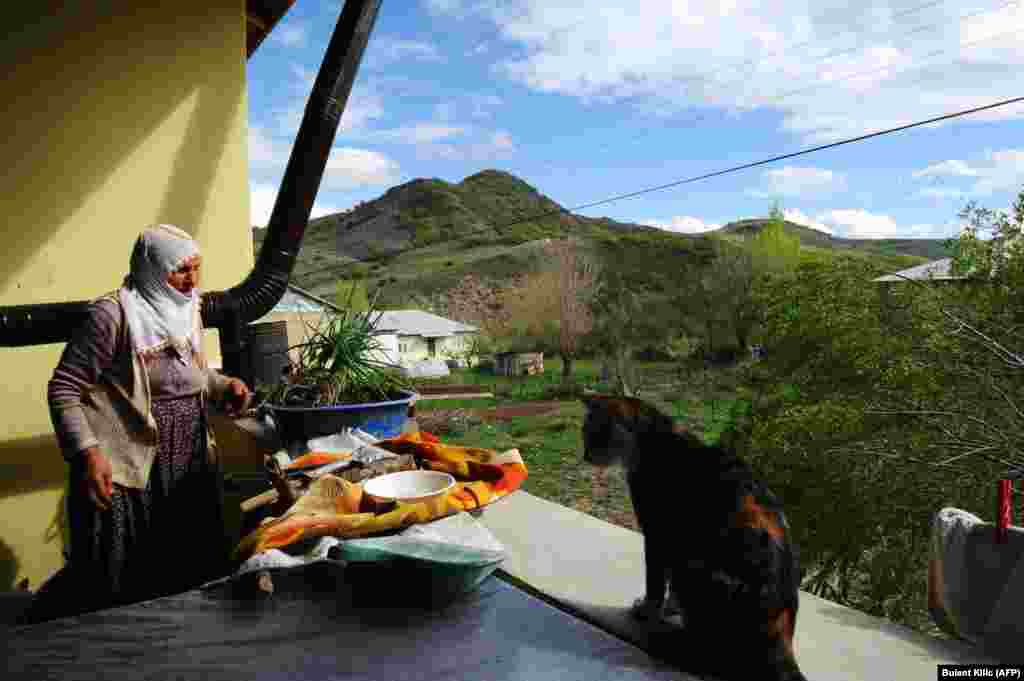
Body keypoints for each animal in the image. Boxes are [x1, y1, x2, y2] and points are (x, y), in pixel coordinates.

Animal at [581, 393, 802, 679]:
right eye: (583, 432)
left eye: (596, 433)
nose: (585, 455)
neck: (653, 439)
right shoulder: (675, 540)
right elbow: (669, 592)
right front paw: (670, 608)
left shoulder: (657, 535)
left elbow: (655, 583)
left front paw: (648, 610)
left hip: (696, 570)